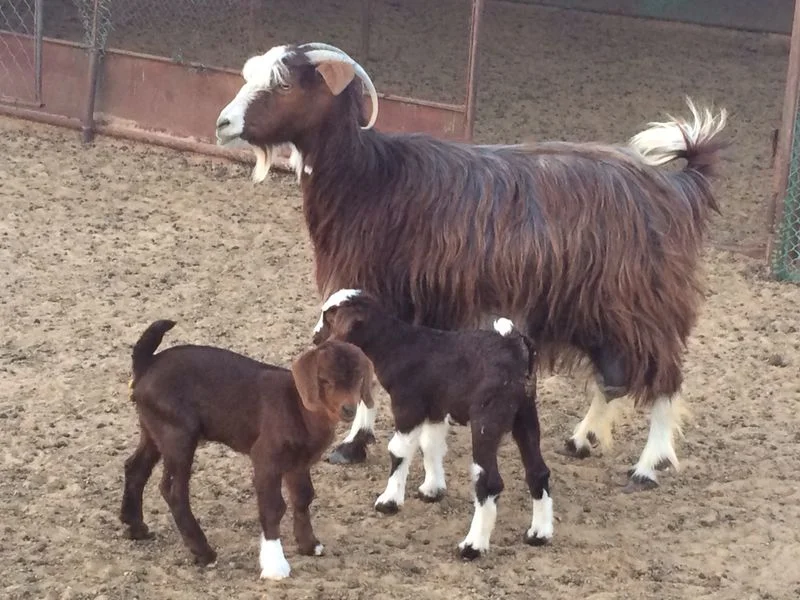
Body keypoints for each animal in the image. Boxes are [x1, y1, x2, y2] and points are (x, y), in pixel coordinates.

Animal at [119, 319, 373, 580]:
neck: (299, 407)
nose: (348, 409)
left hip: (154, 428)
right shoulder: (265, 458)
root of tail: (146, 365)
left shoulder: (298, 463)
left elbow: (303, 497)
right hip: (178, 434)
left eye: (358, 379)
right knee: (173, 490)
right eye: (324, 380)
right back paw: (203, 551)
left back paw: (135, 526)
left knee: (135, 467)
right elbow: (273, 507)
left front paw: (309, 545)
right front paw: (275, 565)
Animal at [215, 42, 728, 492]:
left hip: (643, 304)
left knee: (664, 378)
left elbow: (366, 373)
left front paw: (355, 443)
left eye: (284, 84)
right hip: (591, 306)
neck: (370, 178)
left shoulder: (376, 293)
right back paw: (583, 439)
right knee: (614, 374)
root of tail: (679, 186)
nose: (222, 123)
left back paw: (648, 466)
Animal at [312, 289, 550, 559]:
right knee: (538, 471)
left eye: (329, 317)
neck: (396, 346)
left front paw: (389, 501)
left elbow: (399, 451)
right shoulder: (435, 407)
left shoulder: (408, 406)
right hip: (525, 414)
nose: (315, 338)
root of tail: (517, 350)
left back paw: (472, 546)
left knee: (489, 482)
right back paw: (539, 534)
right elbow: (431, 445)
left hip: (487, 418)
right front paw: (432, 489)